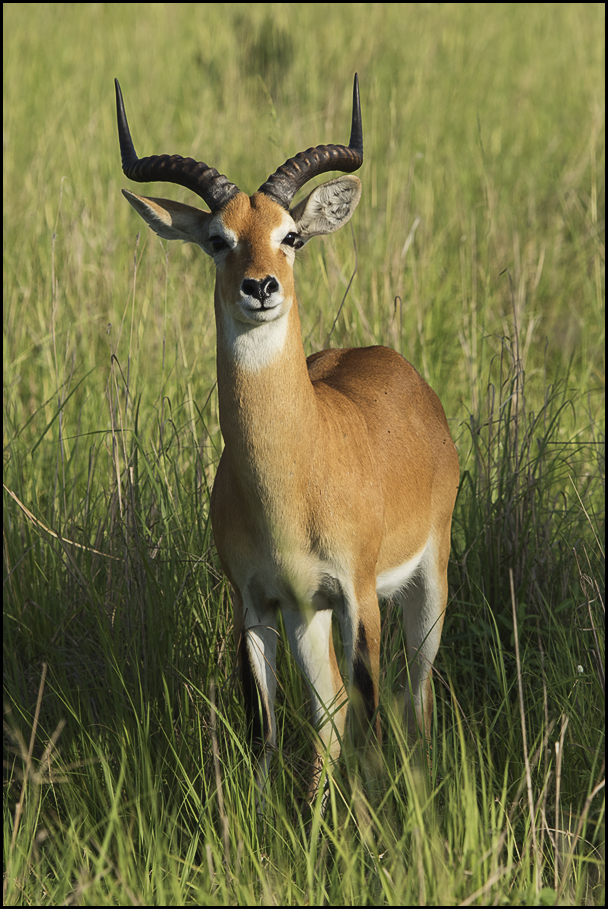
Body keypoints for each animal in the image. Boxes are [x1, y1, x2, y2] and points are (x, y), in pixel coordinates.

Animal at [114, 76, 458, 808]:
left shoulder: (356, 596)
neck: (293, 475)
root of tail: (391, 362)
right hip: (307, 616)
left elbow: (370, 725)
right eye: (219, 239)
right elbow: (265, 731)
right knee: (328, 714)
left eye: (290, 235)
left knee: (413, 699)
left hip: (425, 584)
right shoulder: (254, 602)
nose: (261, 286)